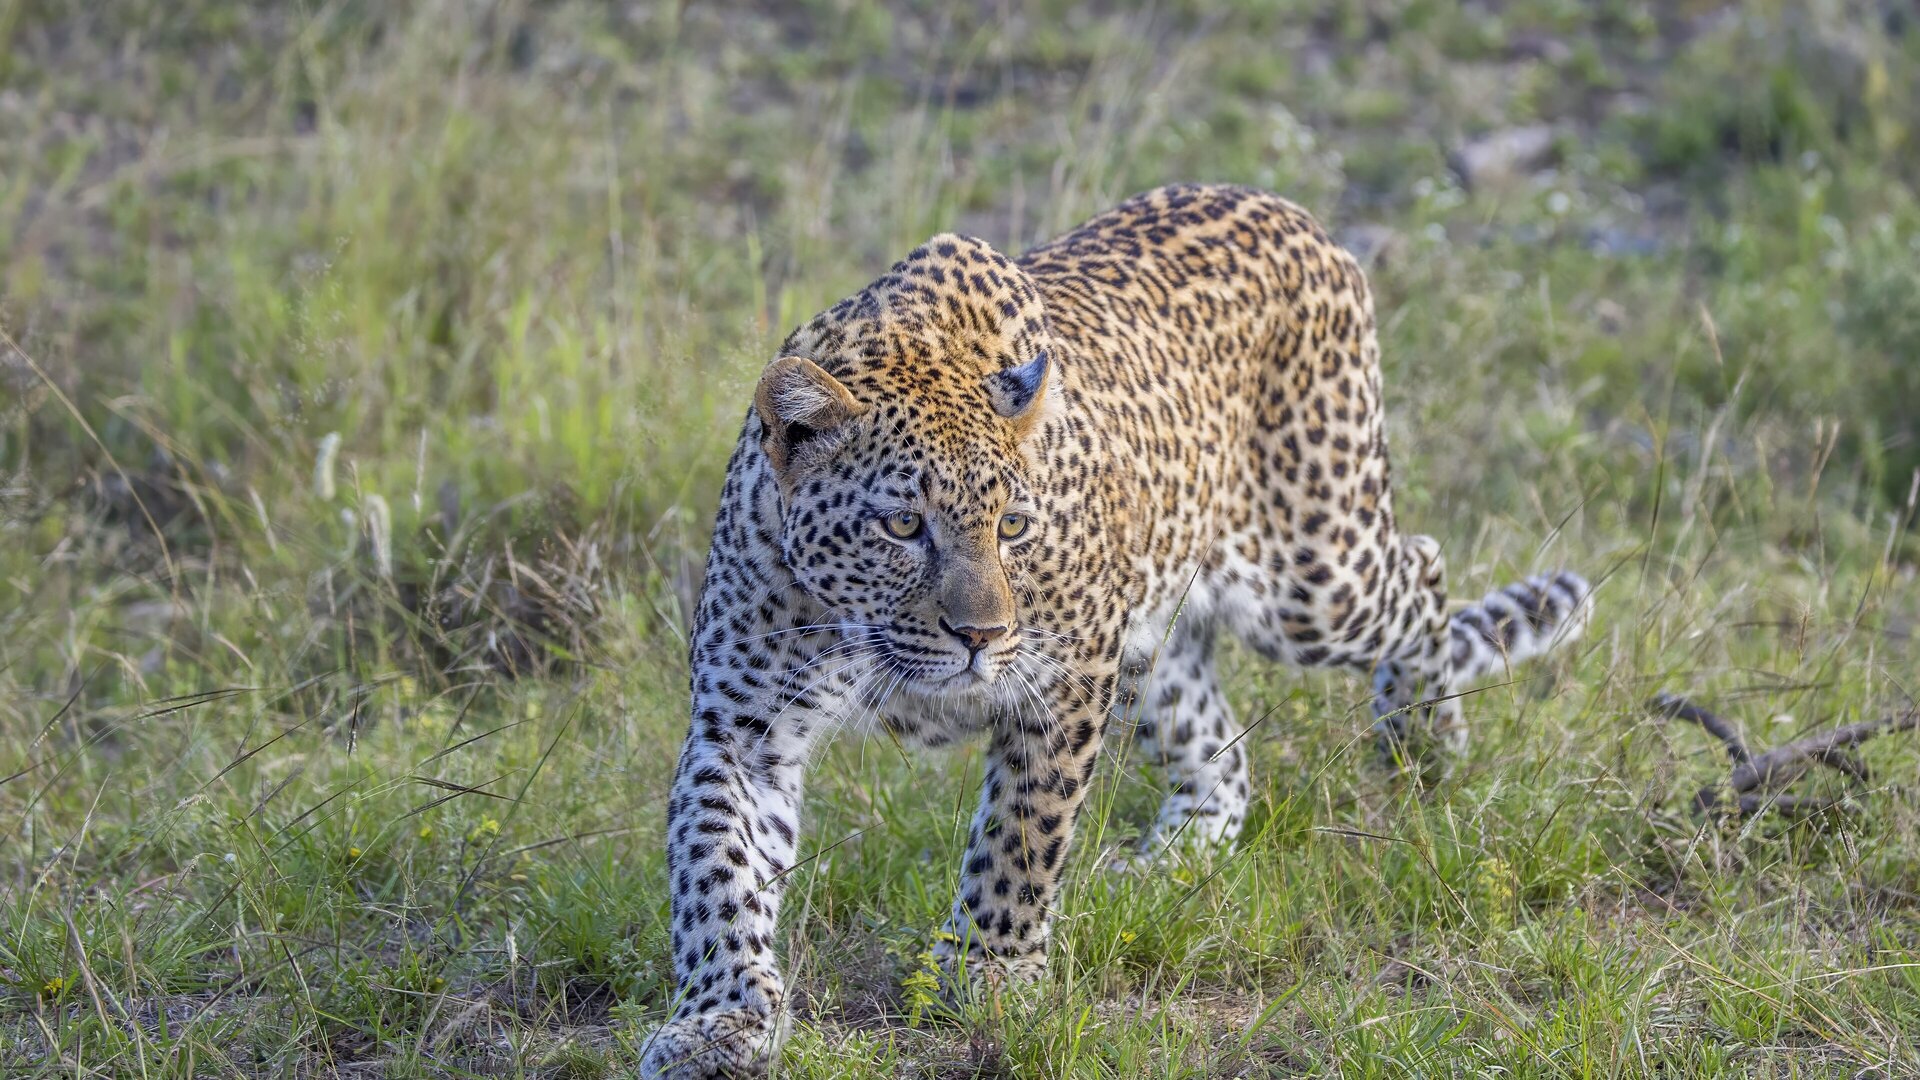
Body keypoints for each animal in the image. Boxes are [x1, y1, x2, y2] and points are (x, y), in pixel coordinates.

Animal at [640, 184, 1592, 1077]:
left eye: (1014, 527)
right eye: (903, 526)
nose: (980, 635)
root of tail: (1293, 212)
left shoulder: (1061, 681)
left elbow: (1021, 835)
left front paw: (988, 973)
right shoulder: (742, 727)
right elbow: (716, 871)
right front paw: (721, 1020)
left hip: (1314, 576)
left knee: (1422, 567)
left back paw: (1424, 740)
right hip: (1155, 641)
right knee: (1223, 758)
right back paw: (1166, 862)